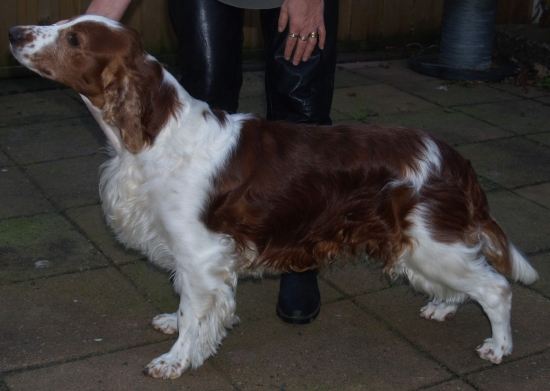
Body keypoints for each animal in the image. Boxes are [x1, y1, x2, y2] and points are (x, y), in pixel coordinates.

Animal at [10, 15, 540, 380]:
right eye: (64, 24)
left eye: (74, 40)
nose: (14, 32)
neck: (153, 136)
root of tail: (452, 157)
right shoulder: (191, 255)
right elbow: (184, 308)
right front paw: (171, 325)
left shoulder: (201, 255)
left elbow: (193, 315)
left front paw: (174, 361)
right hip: (421, 244)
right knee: (466, 282)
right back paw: (442, 308)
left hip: (430, 239)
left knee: (495, 287)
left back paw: (498, 348)